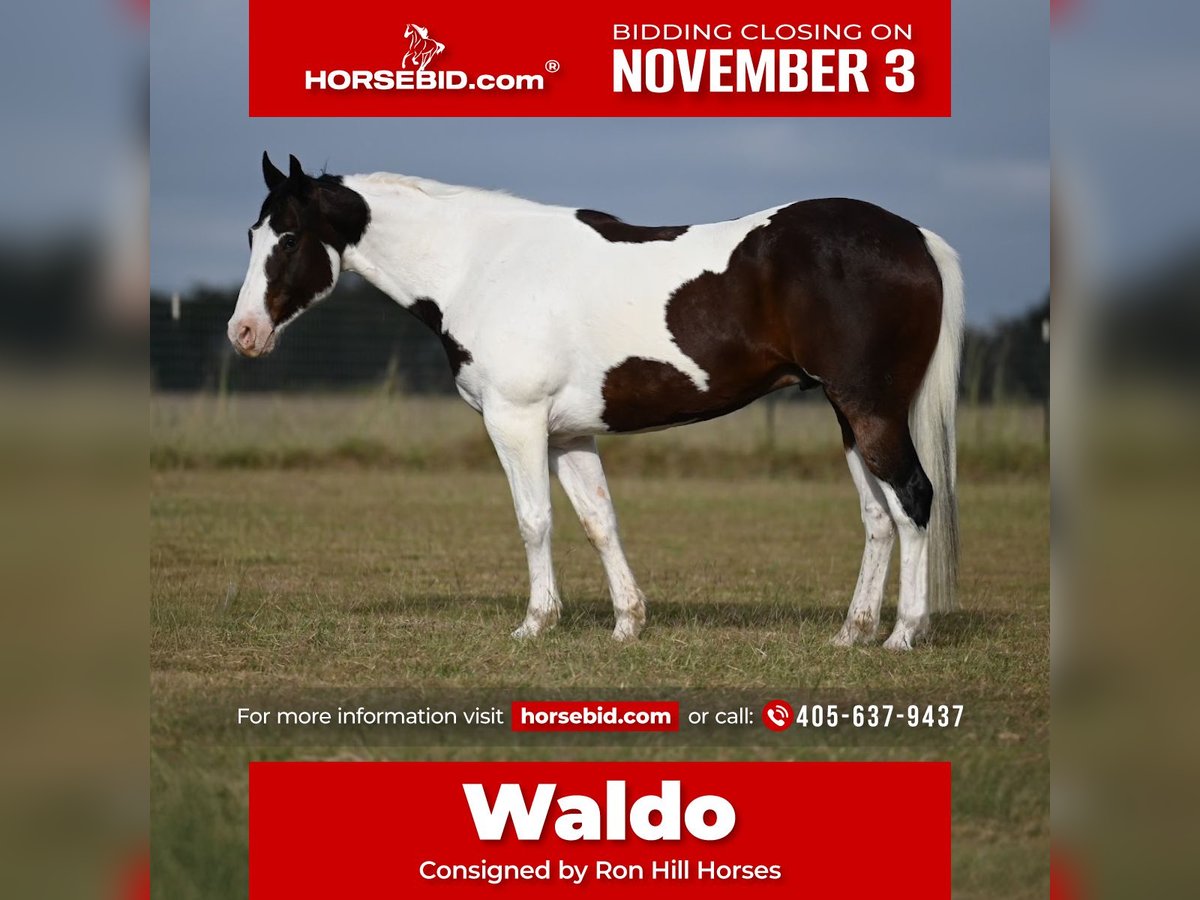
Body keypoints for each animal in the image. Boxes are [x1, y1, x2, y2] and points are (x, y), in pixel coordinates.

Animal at [230, 153, 964, 650]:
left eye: (289, 237)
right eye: (252, 235)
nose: (244, 333)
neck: (479, 265)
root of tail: (915, 238)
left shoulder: (517, 423)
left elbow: (534, 521)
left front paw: (535, 624)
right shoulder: (569, 435)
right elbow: (598, 521)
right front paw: (628, 623)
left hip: (870, 409)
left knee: (913, 499)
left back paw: (904, 633)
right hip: (848, 413)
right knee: (878, 515)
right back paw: (852, 632)